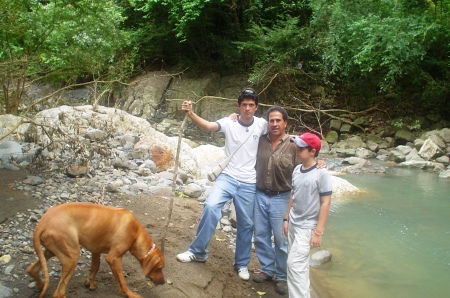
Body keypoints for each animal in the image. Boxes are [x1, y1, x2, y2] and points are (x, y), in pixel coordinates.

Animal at [25, 201, 165, 296]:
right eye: (159, 268)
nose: (163, 282)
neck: (136, 233)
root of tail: (42, 223)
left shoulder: (95, 251)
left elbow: (95, 268)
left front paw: (90, 283)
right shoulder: (113, 258)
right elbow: (122, 281)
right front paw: (130, 294)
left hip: (52, 250)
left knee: (32, 269)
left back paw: (40, 284)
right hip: (72, 257)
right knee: (58, 293)